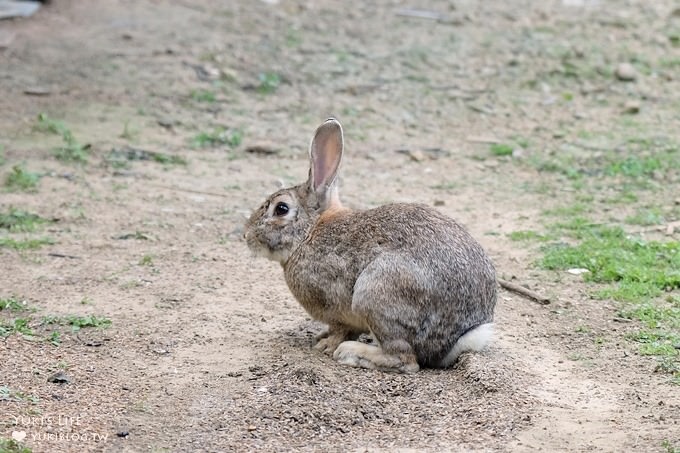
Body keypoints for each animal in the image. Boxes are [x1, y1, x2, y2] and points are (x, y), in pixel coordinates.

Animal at [242, 118, 496, 372]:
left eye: (281, 209)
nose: (246, 235)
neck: (309, 233)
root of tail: (456, 339)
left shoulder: (336, 306)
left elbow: (340, 329)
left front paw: (326, 344)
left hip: (375, 291)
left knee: (406, 360)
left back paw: (351, 353)